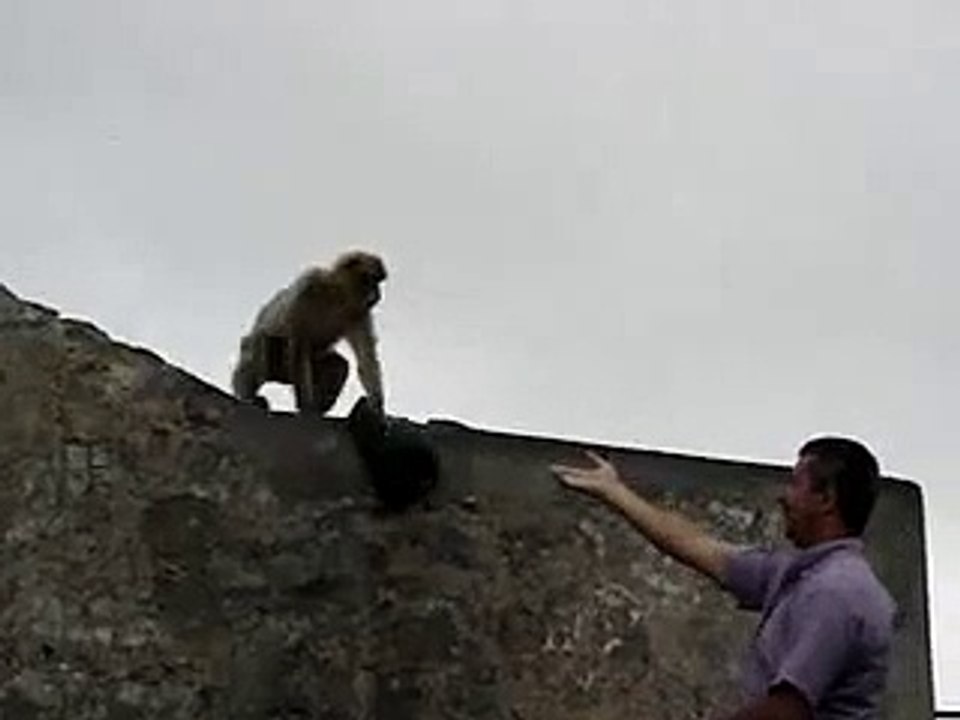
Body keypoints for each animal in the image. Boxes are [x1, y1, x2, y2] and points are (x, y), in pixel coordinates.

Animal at [231, 251, 387, 416]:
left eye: (379, 282)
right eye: (372, 280)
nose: (378, 295)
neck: (338, 295)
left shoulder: (359, 312)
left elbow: (366, 357)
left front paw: (376, 405)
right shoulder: (309, 285)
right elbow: (299, 343)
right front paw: (307, 406)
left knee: (338, 365)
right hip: (280, 365)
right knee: (261, 340)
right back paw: (249, 397)